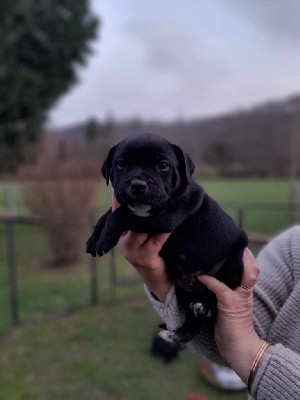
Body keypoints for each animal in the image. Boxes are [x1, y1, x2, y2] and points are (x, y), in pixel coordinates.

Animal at [86, 134, 248, 344]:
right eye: (121, 164)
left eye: (163, 165)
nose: (138, 185)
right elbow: (108, 213)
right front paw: (95, 237)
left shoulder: (164, 218)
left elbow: (120, 214)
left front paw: (105, 238)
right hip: (181, 286)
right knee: (193, 319)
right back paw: (177, 332)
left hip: (233, 265)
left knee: (212, 307)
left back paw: (203, 311)